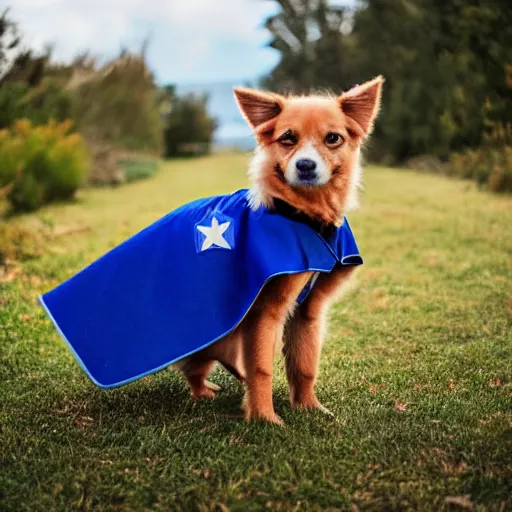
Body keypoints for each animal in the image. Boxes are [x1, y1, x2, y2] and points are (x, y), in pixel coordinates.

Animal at [176, 74, 384, 424]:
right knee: (194, 367)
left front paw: (309, 407)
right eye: (287, 138)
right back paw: (203, 392)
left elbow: (304, 364)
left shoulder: (308, 310)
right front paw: (264, 419)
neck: (304, 217)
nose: (305, 165)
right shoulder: (266, 311)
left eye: (332, 138)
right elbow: (261, 368)